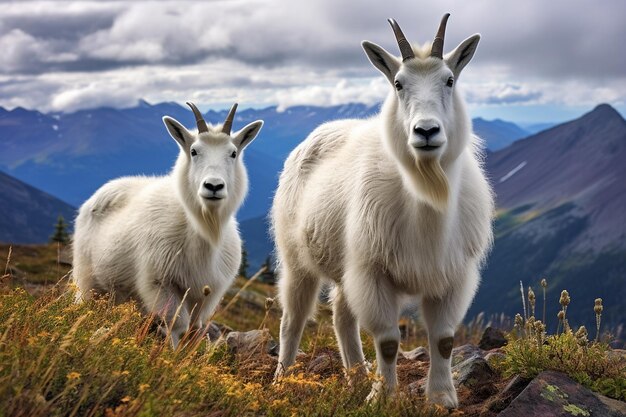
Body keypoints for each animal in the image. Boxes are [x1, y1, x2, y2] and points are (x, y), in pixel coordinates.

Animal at [72, 103, 262, 348]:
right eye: (194, 151)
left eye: (233, 153)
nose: (213, 186)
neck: (203, 230)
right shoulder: (161, 283)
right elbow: (176, 324)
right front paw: (167, 356)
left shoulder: (206, 294)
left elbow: (194, 328)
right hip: (87, 279)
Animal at [272, 14, 492, 408]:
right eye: (398, 83)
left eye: (449, 80)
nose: (426, 131)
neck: (425, 194)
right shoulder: (374, 272)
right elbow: (388, 341)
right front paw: (383, 396)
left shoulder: (452, 275)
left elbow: (444, 340)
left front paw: (442, 398)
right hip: (297, 259)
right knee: (292, 319)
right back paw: (282, 379)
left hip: (345, 267)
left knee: (342, 316)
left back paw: (356, 376)